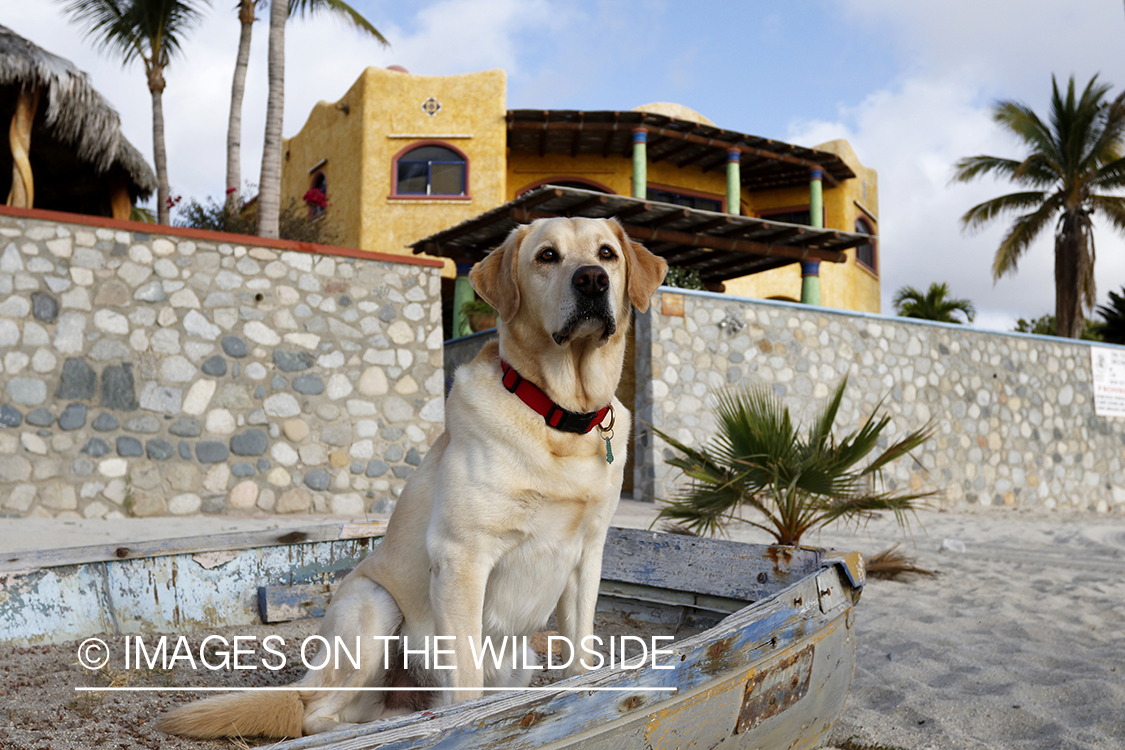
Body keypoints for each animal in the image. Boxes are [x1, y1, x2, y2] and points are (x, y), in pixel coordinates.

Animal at [158, 217, 666, 737]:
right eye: (547, 256)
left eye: (606, 254)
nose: (592, 280)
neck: (558, 418)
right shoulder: (462, 558)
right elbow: (466, 684)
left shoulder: (586, 558)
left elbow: (581, 660)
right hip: (373, 605)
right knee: (314, 714)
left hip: (515, 660)